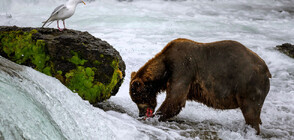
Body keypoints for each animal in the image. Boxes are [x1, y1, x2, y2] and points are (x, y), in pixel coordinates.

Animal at [130, 37, 272, 134]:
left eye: (138, 99)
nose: (141, 114)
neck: (165, 68)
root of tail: (266, 69)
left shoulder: (183, 68)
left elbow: (175, 99)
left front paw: (156, 116)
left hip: (248, 84)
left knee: (250, 112)